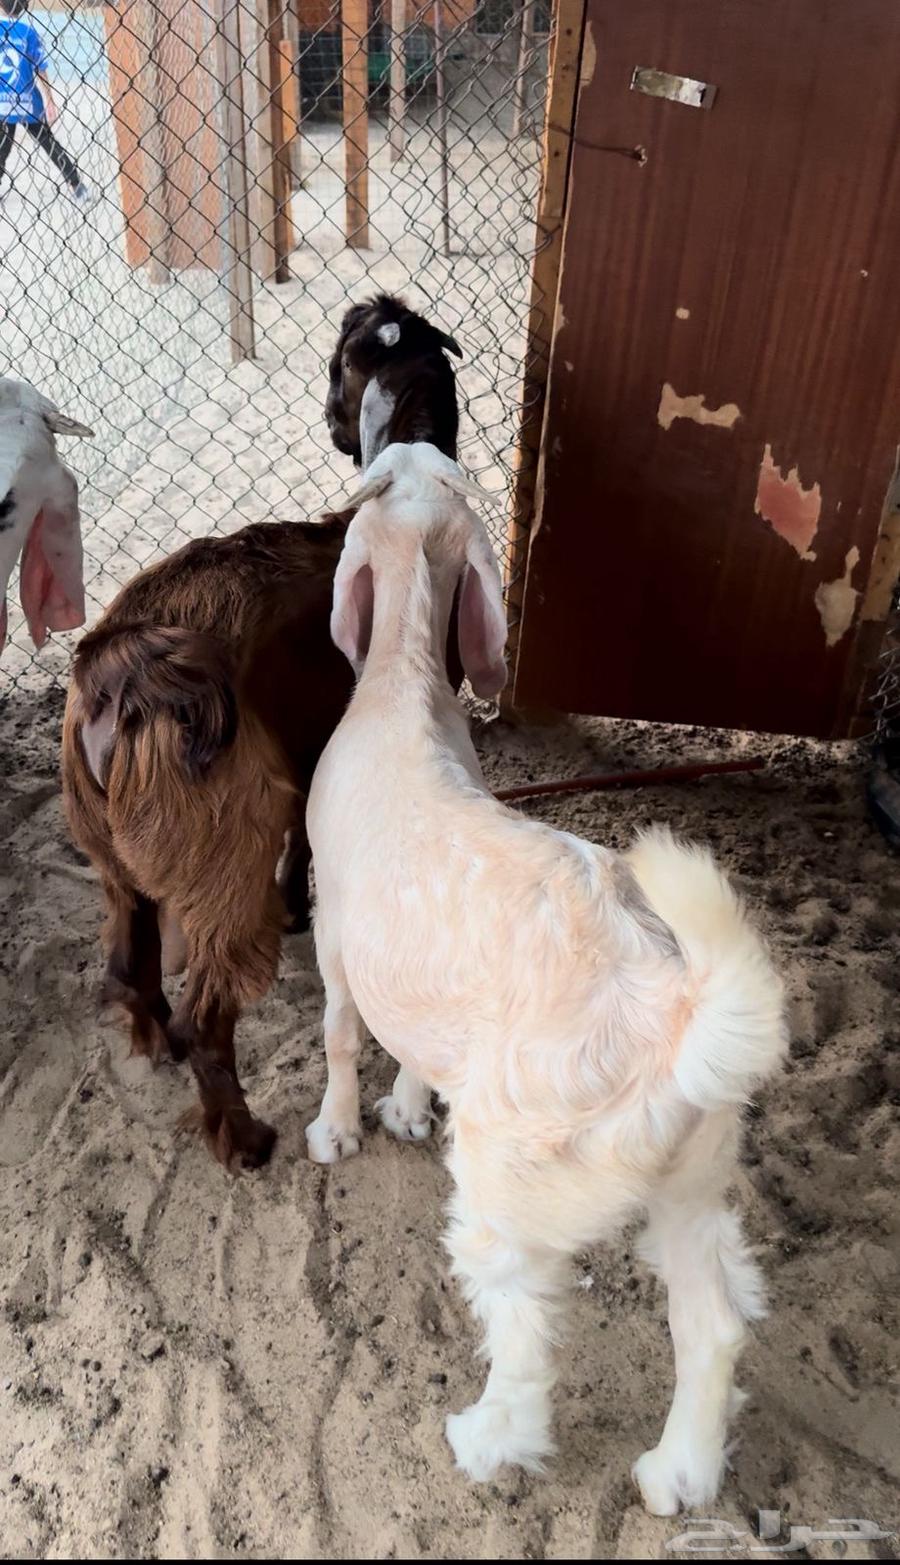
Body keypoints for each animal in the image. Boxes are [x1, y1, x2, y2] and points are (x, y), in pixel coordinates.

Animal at [304, 440, 788, 1512]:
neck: (402, 689)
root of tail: (675, 1006)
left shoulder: (331, 928)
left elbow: (343, 1034)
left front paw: (339, 1131)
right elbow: (412, 1039)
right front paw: (407, 1109)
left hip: (513, 1176)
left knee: (525, 1327)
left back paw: (487, 1440)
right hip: (692, 1172)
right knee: (712, 1320)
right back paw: (678, 1473)